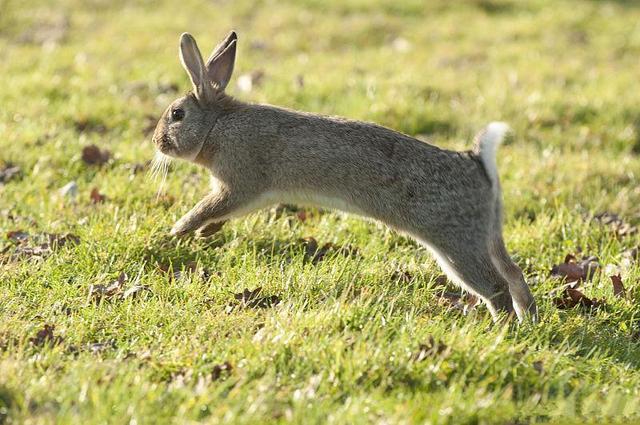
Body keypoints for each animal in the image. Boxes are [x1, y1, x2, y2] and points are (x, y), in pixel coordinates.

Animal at [152, 30, 536, 322]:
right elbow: (222, 213)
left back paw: (503, 327)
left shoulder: (238, 183)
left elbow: (208, 206)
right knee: (513, 273)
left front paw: (178, 230)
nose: (157, 141)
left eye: (177, 114)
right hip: (487, 233)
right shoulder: (251, 195)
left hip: (457, 244)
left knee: (495, 286)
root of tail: (476, 161)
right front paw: (202, 233)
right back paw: (529, 319)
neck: (217, 124)